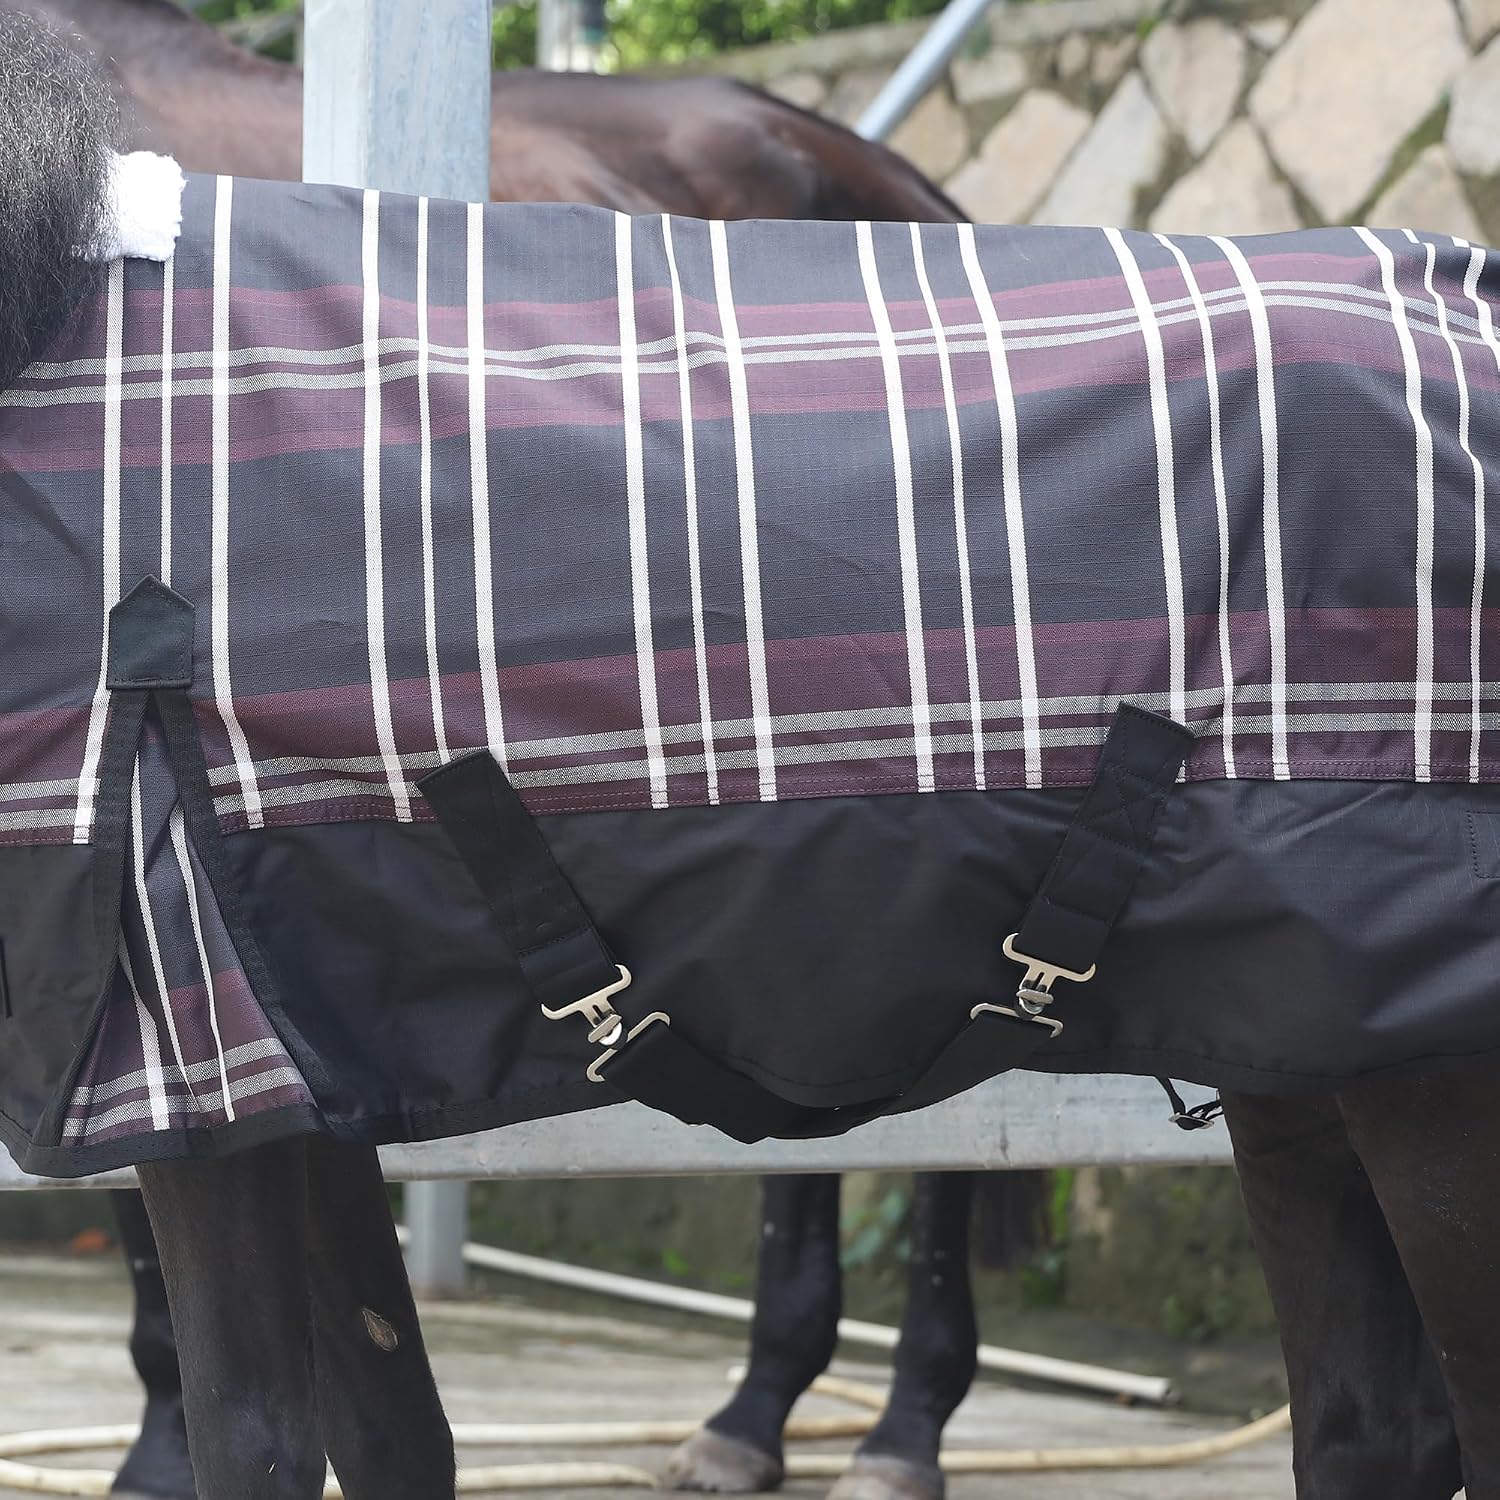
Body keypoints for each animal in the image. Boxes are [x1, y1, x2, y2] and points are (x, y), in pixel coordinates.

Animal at [0, 14, 1493, 1500]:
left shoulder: (187, 1044)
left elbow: (252, 1424)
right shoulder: (287, 1059)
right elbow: (385, 1424)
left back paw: (877, 1433)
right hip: (1292, 1055)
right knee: (1373, 1419)